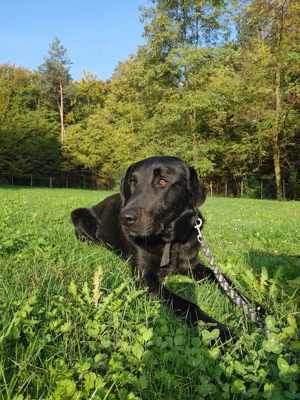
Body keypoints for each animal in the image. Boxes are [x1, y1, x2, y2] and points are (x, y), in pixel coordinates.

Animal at [71, 156, 233, 340]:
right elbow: (186, 303)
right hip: (78, 214)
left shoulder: (193, 266)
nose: (124, 218)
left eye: (163, 181)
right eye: (132, 181)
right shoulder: (144, 277)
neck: (170, 241)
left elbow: (222, 278)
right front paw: (222, 331)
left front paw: (250, 305)